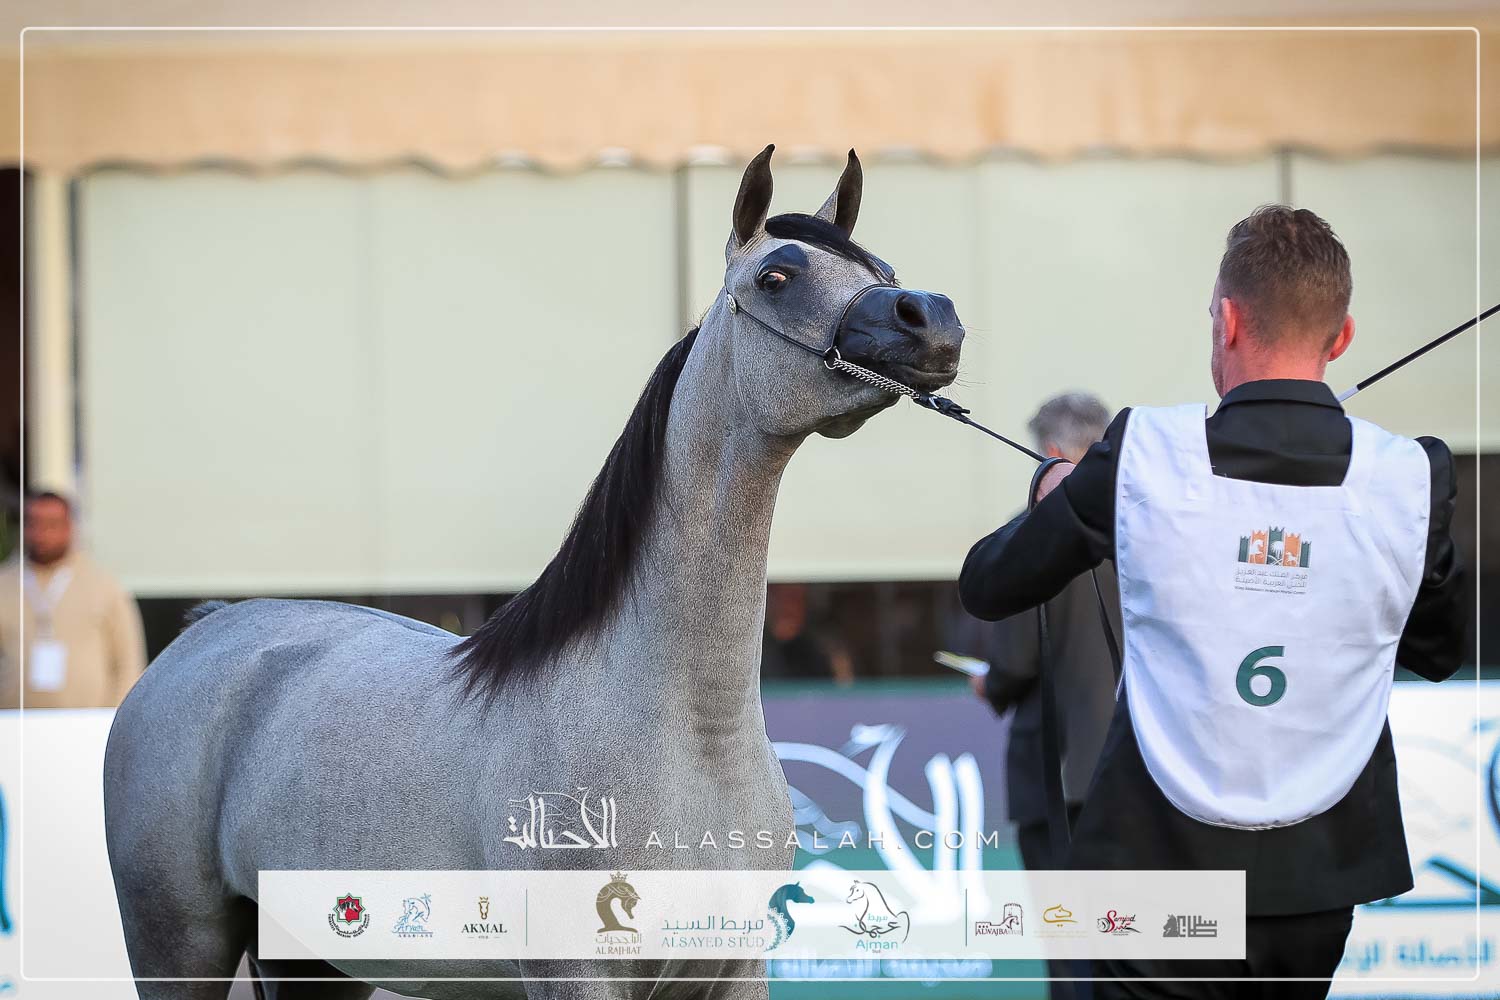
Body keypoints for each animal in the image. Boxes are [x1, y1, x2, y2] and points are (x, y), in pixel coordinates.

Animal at [102, 144, 964, 1000]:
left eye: (880, 267)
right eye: (777, 277)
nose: (931, 318)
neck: (689, 736)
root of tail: (209, 630)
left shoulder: (732, 972)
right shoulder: (572, 973)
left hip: (314, 959)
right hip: (177, 945)